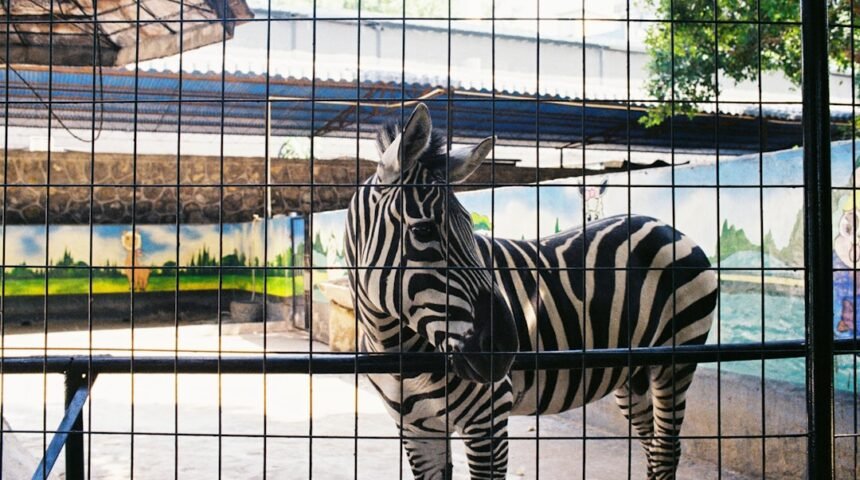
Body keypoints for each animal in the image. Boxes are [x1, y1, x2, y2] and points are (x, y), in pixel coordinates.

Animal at [344, 103, 718, 480]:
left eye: (470, 226)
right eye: (423, 230)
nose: (506, 350)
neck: (398, 349)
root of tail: (664, 224)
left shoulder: (488, 418)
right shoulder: (417, 431)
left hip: (676, 360)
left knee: (667, 448)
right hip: (632, 372)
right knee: (653, 447)